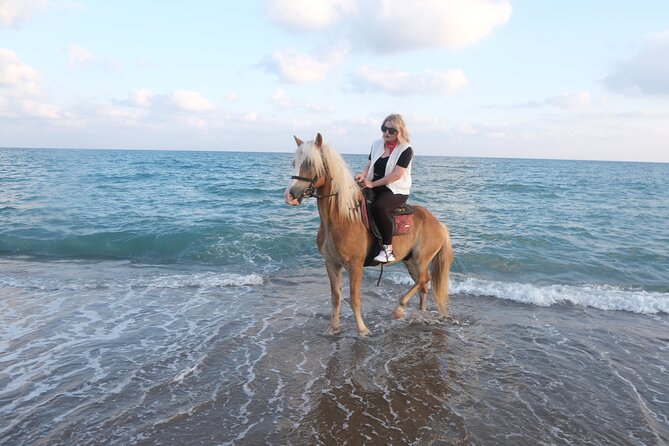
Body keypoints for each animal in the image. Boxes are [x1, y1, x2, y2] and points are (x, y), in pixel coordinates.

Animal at [284, 133, 453, 337]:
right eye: (294, 162)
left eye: (309, 163)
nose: (290, 195)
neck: (340, 218)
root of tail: (438, 224)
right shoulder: (331, 263)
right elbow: (336, 297)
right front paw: (333, 328)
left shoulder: (355, 265)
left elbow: (354, 298)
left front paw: (362, 329)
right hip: (410, 261)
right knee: (423, 286)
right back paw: (421, 313)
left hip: (421, 259)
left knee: (423, 280)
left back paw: (399, 309)